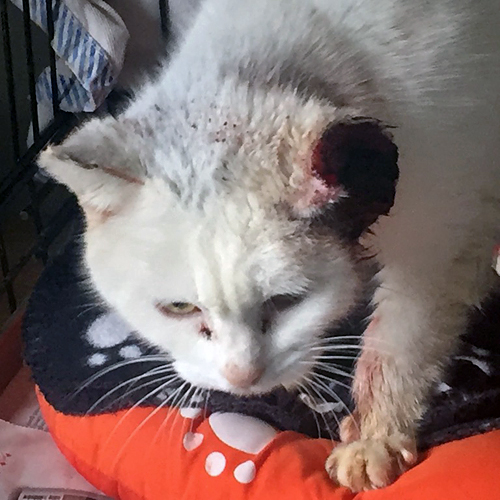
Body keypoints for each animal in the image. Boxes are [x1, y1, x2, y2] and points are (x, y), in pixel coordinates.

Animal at [38, 0, 500, 492]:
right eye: (179, 309)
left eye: (285, 301)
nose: (242, 377)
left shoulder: (436, 242)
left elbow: (398, 347)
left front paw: (375, 439)